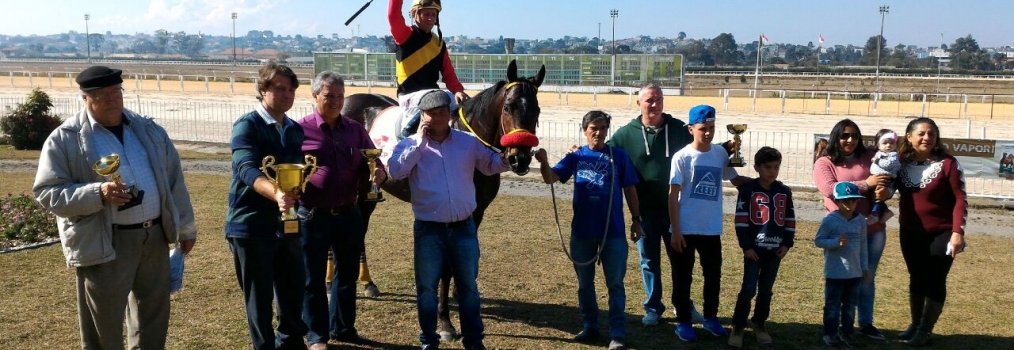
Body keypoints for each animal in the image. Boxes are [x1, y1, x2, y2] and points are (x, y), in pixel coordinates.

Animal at [342, 58, 547, 336]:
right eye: (508, 107)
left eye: (536, 110)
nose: (520, 159)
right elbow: (446, 268)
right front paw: (445, 322)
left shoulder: (475, 211)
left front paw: (461, 296)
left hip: (368, 193)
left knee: (361, 229)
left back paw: (367, 282)